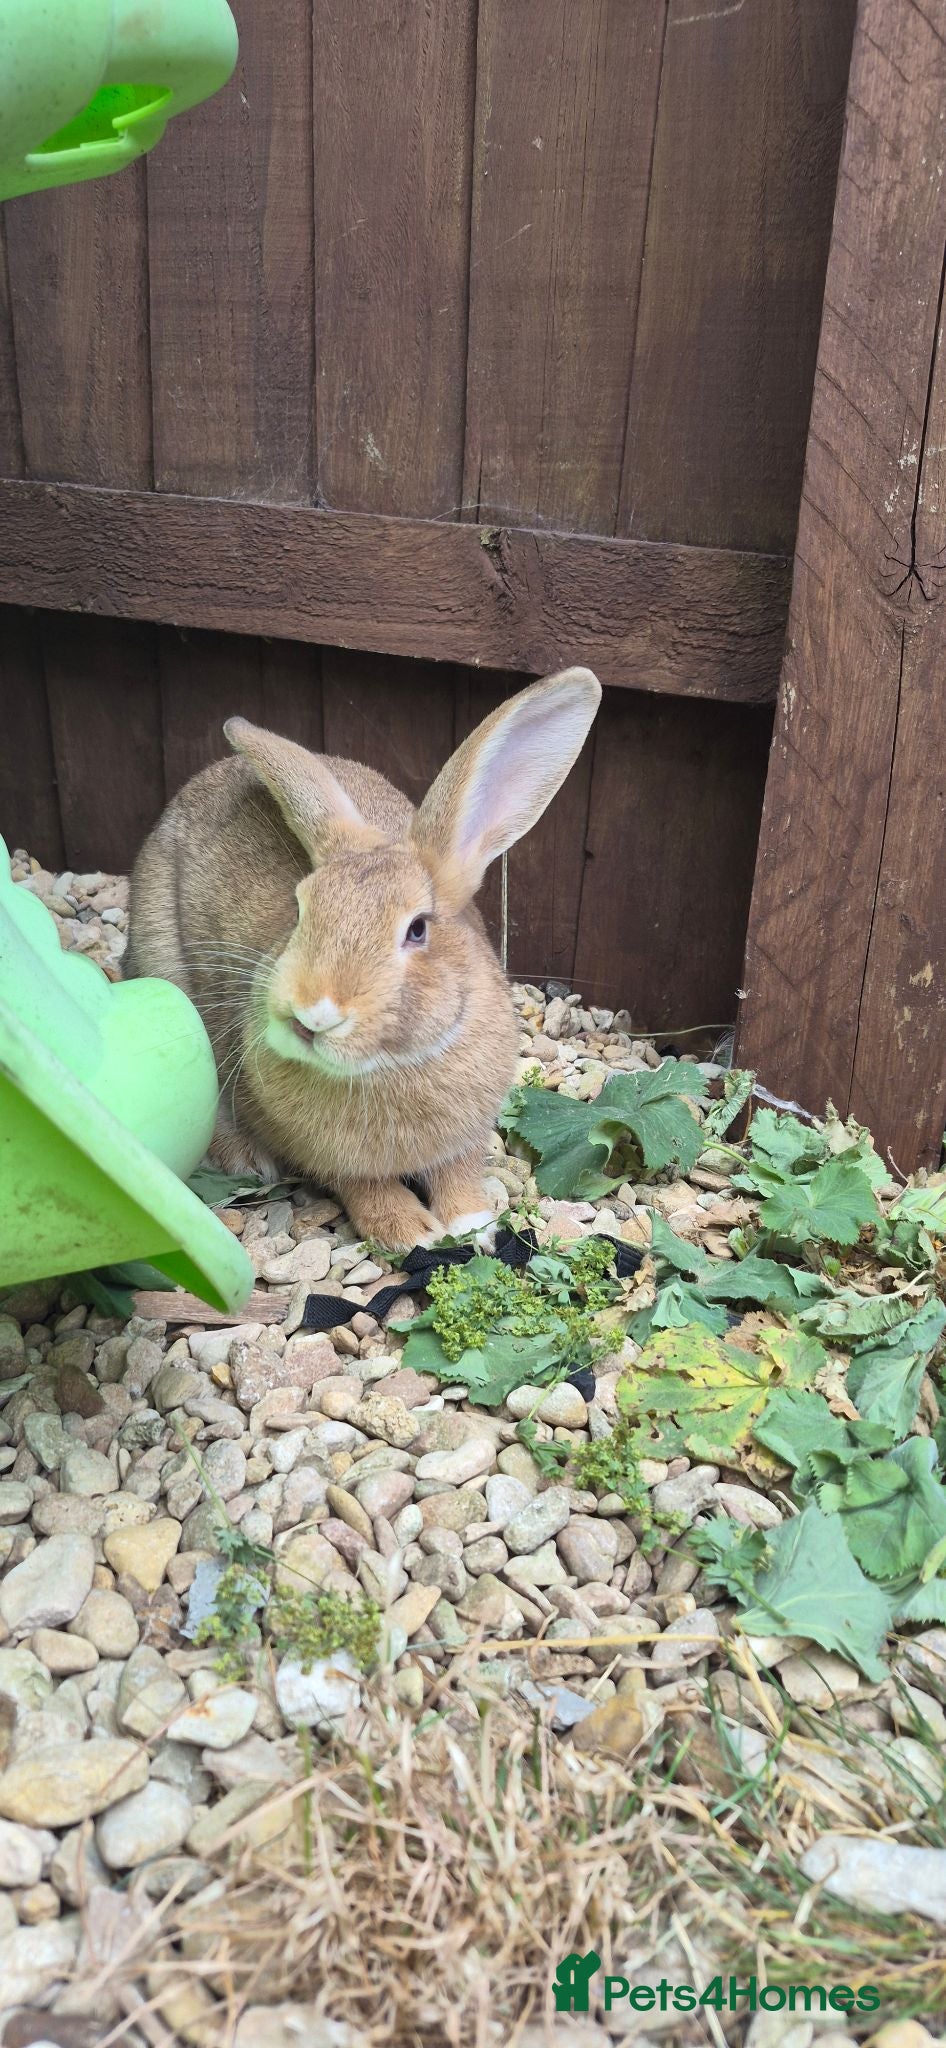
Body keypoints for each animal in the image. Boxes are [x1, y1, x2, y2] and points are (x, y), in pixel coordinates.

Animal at [125, 665, 601, 1249]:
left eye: (417, 930)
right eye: (300, 909)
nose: (312, 1014)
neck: (390, 1066)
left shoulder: (465, 1136)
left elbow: (459, 1171)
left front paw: (473, 1223)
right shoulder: (331, 1160)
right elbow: (363, 1187)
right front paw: (411, 1233)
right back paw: (246, 1159)